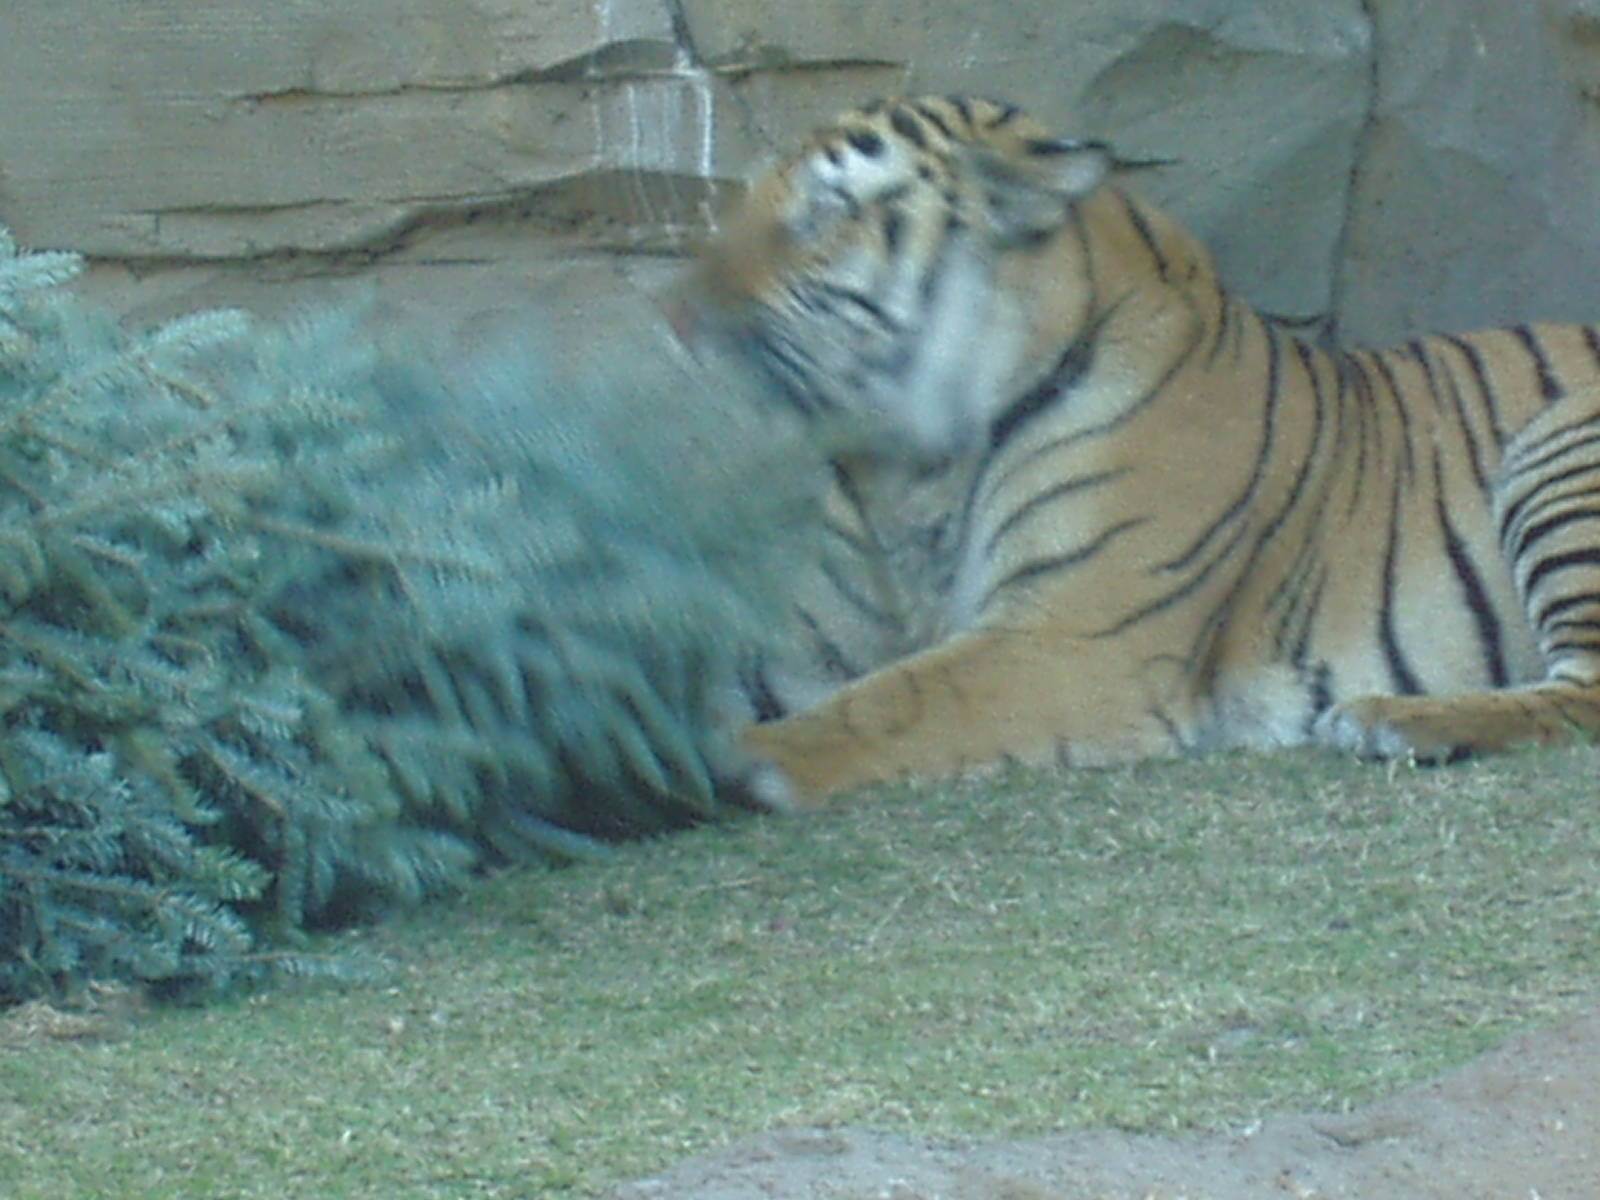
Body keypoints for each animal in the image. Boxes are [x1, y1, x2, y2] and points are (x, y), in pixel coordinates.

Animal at [673, 94, 1600, 807]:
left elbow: (879, 704)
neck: (910, 468)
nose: (672, 313)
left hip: (1557, 450)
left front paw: (734, 761)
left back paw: (1394, 721)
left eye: (824, 217)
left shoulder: (1071, 638)